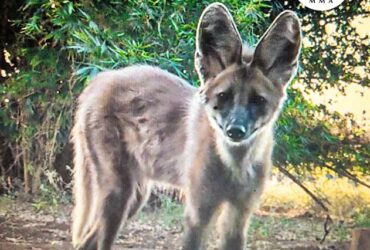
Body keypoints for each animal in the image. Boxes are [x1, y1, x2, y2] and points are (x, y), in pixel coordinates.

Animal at [71, 2, 300, 250]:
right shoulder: (198, 212)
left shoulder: (238, 216)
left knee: (86, 240)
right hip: (119, 194)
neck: (234, 166)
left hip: (135, 197)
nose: (235, 131)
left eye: (258, 100)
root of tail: (100, 78)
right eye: (224, 96)